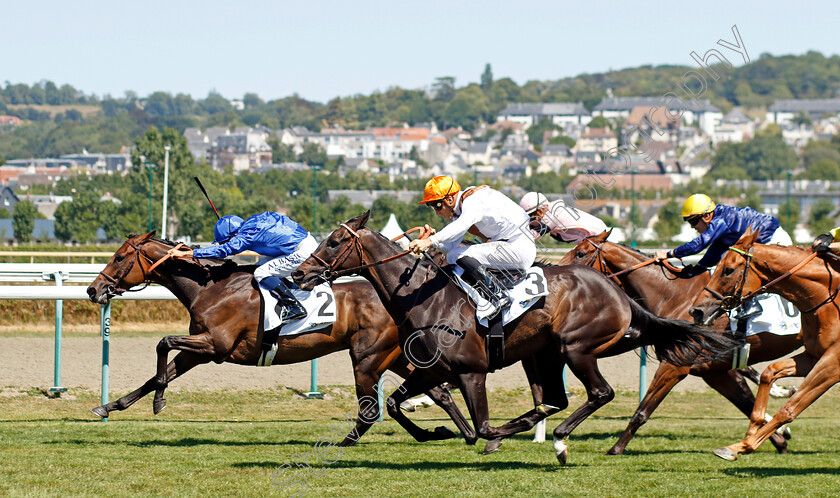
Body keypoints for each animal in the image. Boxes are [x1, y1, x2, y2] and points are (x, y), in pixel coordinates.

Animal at [89, 231, 480, 446]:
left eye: (120, 257)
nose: (94, 290)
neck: (212, 287)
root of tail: (403, 295)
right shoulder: (200, 349)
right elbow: (158, 373)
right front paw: (110, 406)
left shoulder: (215, 344)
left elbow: (162, 344)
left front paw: (158, 401)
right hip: (396, 355)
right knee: (439, 392)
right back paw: (454, 433)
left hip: (369, 356)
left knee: (376, 406)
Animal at [292, 210, 740, 462]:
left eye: (334, 241)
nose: (298, 273)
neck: (426, 297)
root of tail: (618, 292)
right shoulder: (432, 369)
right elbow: (398, 404)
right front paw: (439, 431)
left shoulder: (471, 371)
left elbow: (485, 427)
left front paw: (490, 436)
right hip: (547, 354)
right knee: (556, 399)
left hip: (576, 348)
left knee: (599, 393)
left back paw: (559, 440)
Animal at [560, 230, 796, 456]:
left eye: (581, 253)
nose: (559, 271)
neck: (675, 296)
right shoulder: (714, 373)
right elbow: (746, 404)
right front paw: (778, 441)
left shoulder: (674, 366)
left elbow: (641, 412)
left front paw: (615, 449)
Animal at [688, 230, 840, 462]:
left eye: (728, 270)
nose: (696, 311)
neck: (826, 300)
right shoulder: (814, 356)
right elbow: (769, 372)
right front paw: (751, 433)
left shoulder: (833, 363)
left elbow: (789, 409)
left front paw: (742, 445)